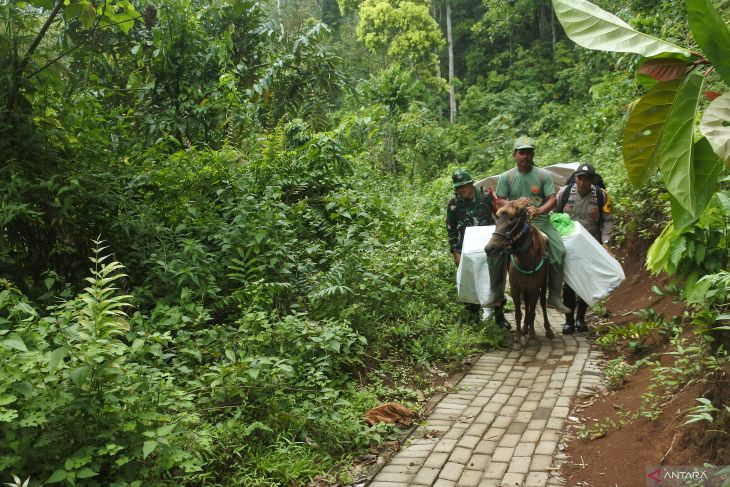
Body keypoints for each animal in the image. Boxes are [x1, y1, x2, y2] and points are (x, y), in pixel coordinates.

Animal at [484, 197, 552, 344]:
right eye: (496, 223)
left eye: (511, 225)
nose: (489, 248)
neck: (527, 261)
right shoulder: (515, 289)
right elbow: (518, 313)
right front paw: (519, 336)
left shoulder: (535, 288)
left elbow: (532, 311)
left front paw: (532, 336)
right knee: (526, 303)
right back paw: (525, 328)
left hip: (543, 285)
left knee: (543, 303)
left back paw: (548, 329)